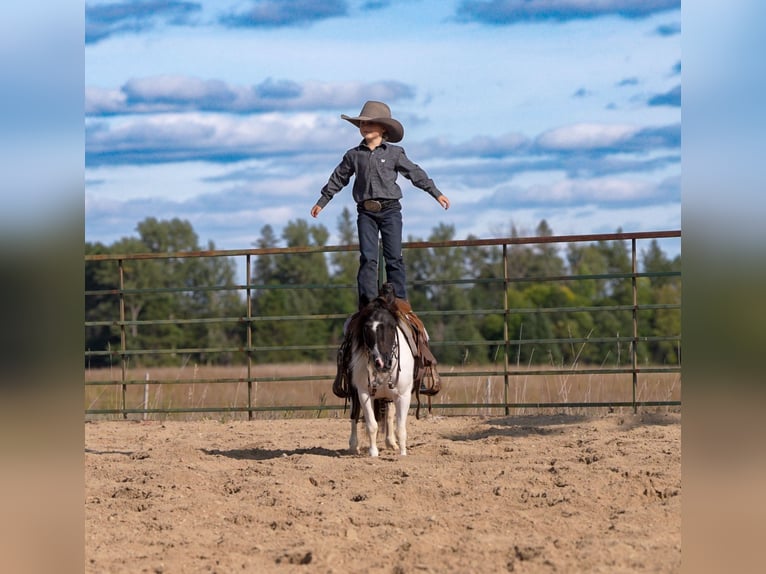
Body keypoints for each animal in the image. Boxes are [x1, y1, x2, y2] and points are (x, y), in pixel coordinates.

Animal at [346, 291, 415, 457]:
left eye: (392, 326)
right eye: (366, 328)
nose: (382, 362)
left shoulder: (403, 395)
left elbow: (400, 428)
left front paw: (403, 454)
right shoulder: (364, 393)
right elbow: (372, 425)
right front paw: (373, 453)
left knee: (389, 415)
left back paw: (391, 443)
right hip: (354, 394)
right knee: (353, 416)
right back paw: (353, 446)